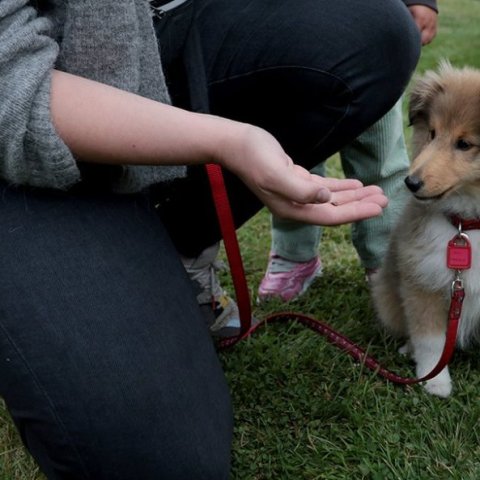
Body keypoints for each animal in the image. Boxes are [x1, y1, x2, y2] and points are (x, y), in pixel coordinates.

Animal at [372, 61, 480, 398]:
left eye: (464, 144)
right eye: (432, 133)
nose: (411, 182)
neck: (468, 226)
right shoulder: (423, 282)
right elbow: (430, 341)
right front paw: (435, 382)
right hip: (386, 298)